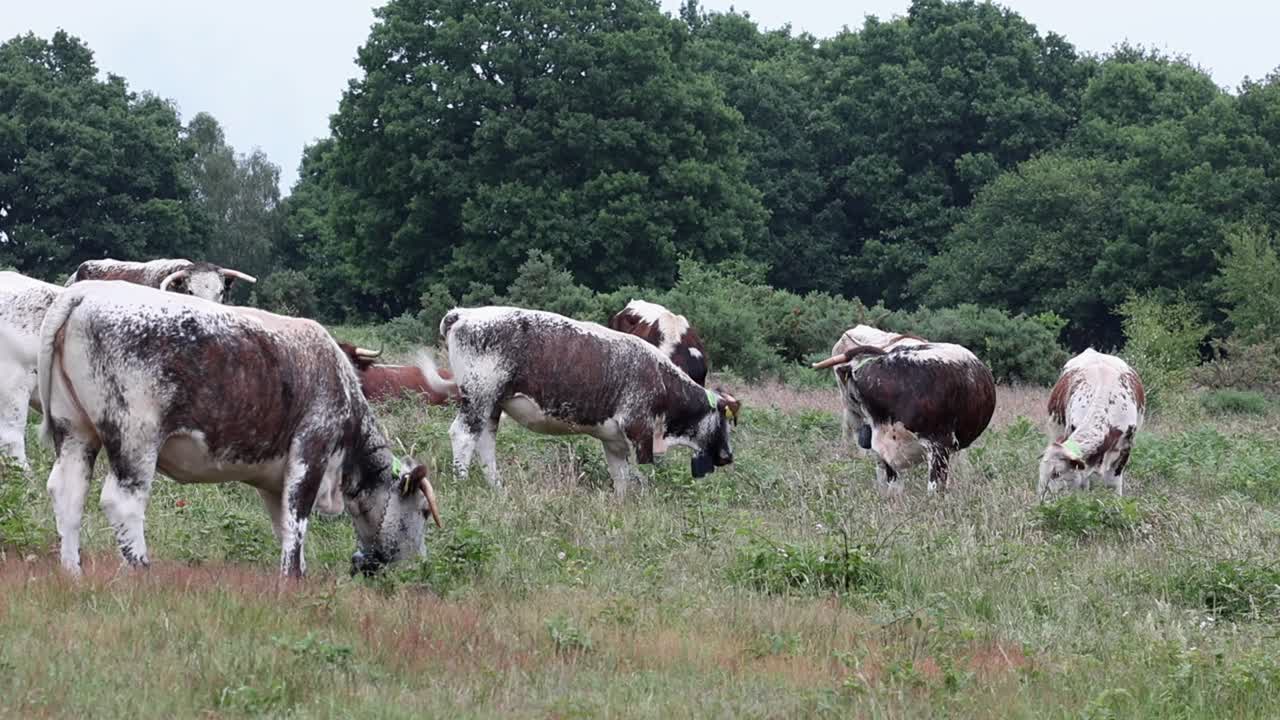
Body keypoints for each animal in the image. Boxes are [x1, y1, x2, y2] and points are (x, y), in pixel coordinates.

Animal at [37, 281, 440, 577]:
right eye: (422, 511)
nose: (418, 565)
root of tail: (86, 291)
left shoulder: (275, 479)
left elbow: (284, 527)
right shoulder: (311, 452)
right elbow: (297, 524)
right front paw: (291, 581)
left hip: (75, 432)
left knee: (68, 493)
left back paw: (73, 572)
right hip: (134, 438)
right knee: (122, 502)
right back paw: (141, 571)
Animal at [418, 306, 736, 497]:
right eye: (723, 420)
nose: (728, 456)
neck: (660, 377)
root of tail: (464, 313)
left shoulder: (614, 441)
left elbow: (621, 478)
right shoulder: (638, 430)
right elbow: (643, 473)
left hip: (492, 405)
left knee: (485, 442)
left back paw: (497, 488)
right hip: (479, 396)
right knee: (463, 435)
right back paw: (462, 483)